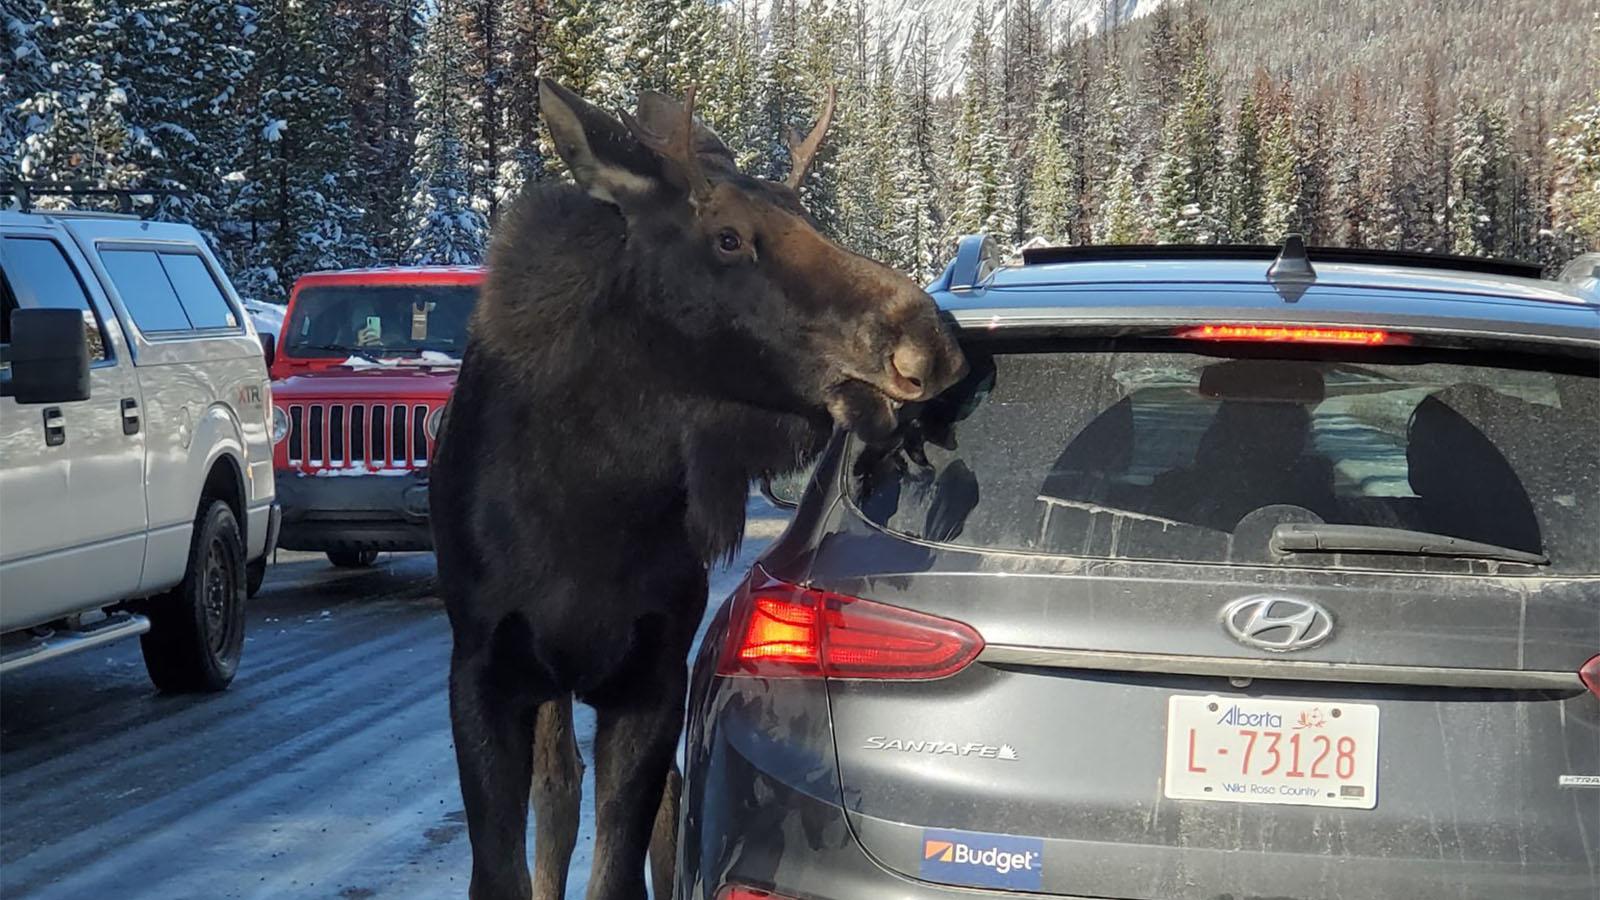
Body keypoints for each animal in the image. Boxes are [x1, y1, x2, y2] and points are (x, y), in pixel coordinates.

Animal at [425, 78, 966, 896]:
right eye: (729, 238)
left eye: (806, 216)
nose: (929, 342)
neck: (594, 506)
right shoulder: (485, 669)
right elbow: (501, 868)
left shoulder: (654, 675)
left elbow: (622, 865)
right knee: (559, 791)